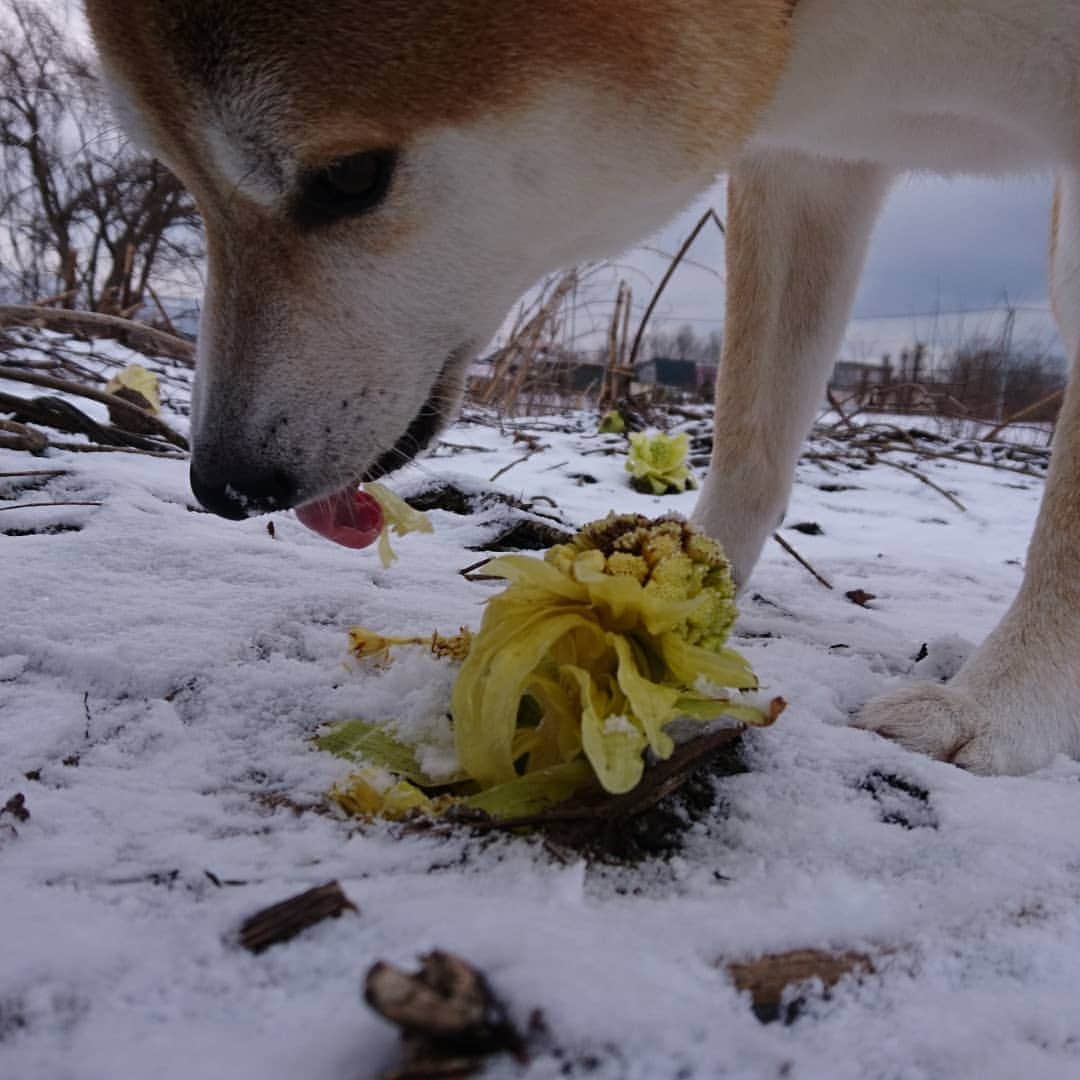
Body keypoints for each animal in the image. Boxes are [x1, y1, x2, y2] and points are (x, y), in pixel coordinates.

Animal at [86, 0, 1080, 777]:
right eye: (183, 178)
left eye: (351, 177)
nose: (222, 482)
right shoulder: (802, 162)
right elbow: (751, 434)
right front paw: (687, 579)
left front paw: (997, 709)